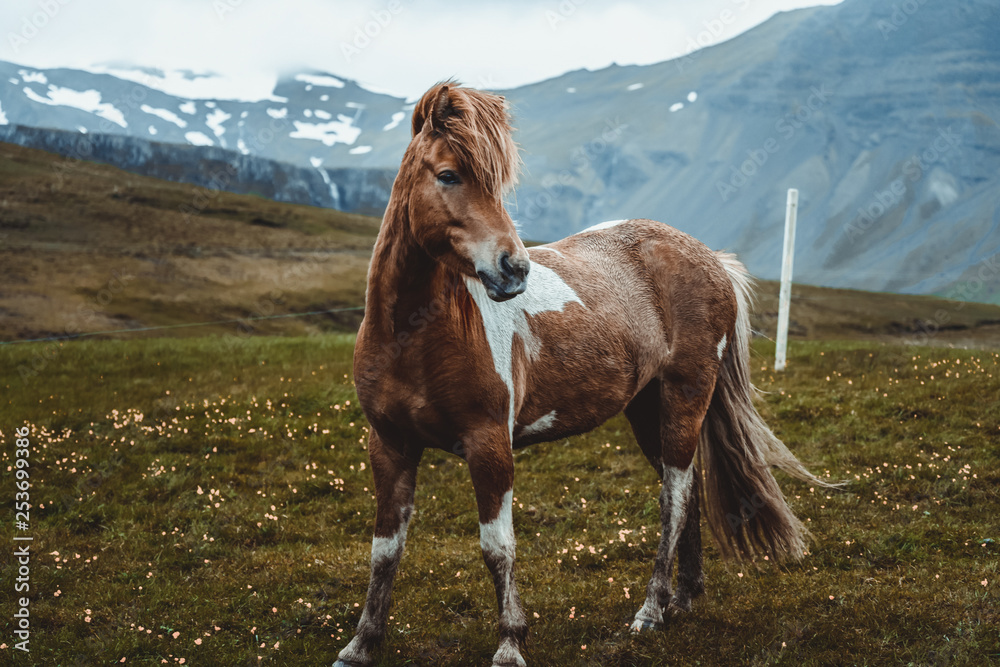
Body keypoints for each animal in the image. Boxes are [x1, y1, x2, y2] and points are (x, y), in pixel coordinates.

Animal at [336, 82, 836, 667]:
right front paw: (361, 644)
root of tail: (709, 257)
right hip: (647, 409)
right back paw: (683, 598)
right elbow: (384, 550)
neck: (412, 336)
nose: (514, 269)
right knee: (686, 491)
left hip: (685, 397)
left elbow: (497, 548)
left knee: (674, 498)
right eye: (447, 175)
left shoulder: (489, 445)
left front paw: (510, 644)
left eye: (497, 184)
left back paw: (651, 610)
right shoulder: (389, 445)